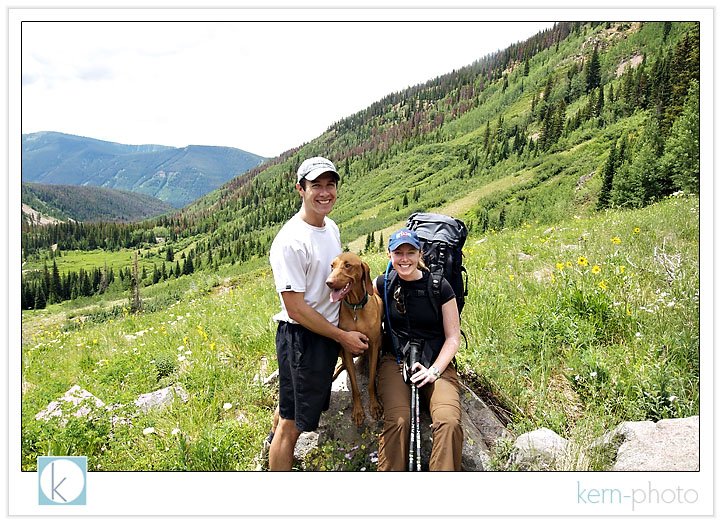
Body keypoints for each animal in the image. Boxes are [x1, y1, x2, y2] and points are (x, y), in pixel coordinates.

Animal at [324, 251, 382, 426]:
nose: (328, 282)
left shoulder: (374, 345)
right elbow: (355, 388)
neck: (356, 307)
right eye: (332, 266)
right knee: (342, 363)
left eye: (348, 265)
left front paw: (374, 406)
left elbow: (371, 382)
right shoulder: (348, 348)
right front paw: (358, 411)